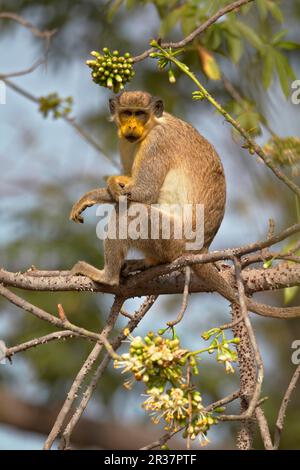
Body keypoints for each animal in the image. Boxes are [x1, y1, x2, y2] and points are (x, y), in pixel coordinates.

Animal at [69, 91, 300, 320]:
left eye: (140, 114)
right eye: (127, 113)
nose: (132, 126)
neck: (153, 125)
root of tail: (201, 248)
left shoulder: (157, 142)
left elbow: (145, 192)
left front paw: (93, 195)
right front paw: (113, 184)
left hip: (172, 239)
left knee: (130, 211)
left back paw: (108, 277)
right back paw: (147, 262)